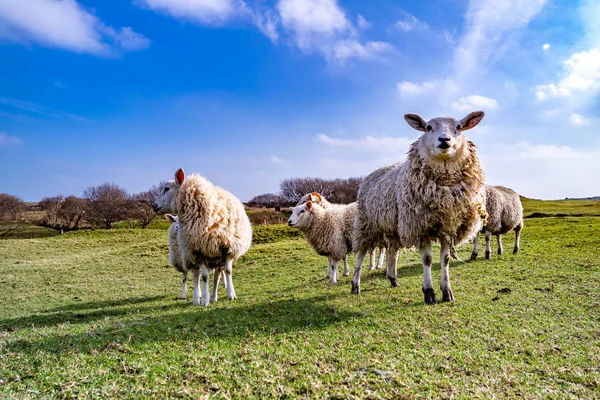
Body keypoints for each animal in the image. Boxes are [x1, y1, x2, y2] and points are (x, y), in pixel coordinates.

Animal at [154, 169, 252, 306]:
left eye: (166, 188)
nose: (153, 205)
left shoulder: (228, 249)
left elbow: (228, 272)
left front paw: (231, 294)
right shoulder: (199, 252)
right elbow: (204, 277)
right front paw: (204, 300)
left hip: (217, 256)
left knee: (217, 275)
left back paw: (214, 296)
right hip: (192, 255)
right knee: (198, 275)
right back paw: (199, 298)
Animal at [352, 109, 488, 304]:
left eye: (459, 127)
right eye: (428, 127)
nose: (444, 140)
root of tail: (375, 171)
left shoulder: (448, 226)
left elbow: (445, 260)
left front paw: (447, 292)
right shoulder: (420, 227)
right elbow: (428, 260)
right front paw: (429, 292)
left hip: (394, 226)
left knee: (392, 251)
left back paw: (393, 279)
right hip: (367, 223)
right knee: (361, 253)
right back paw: (355, 285)